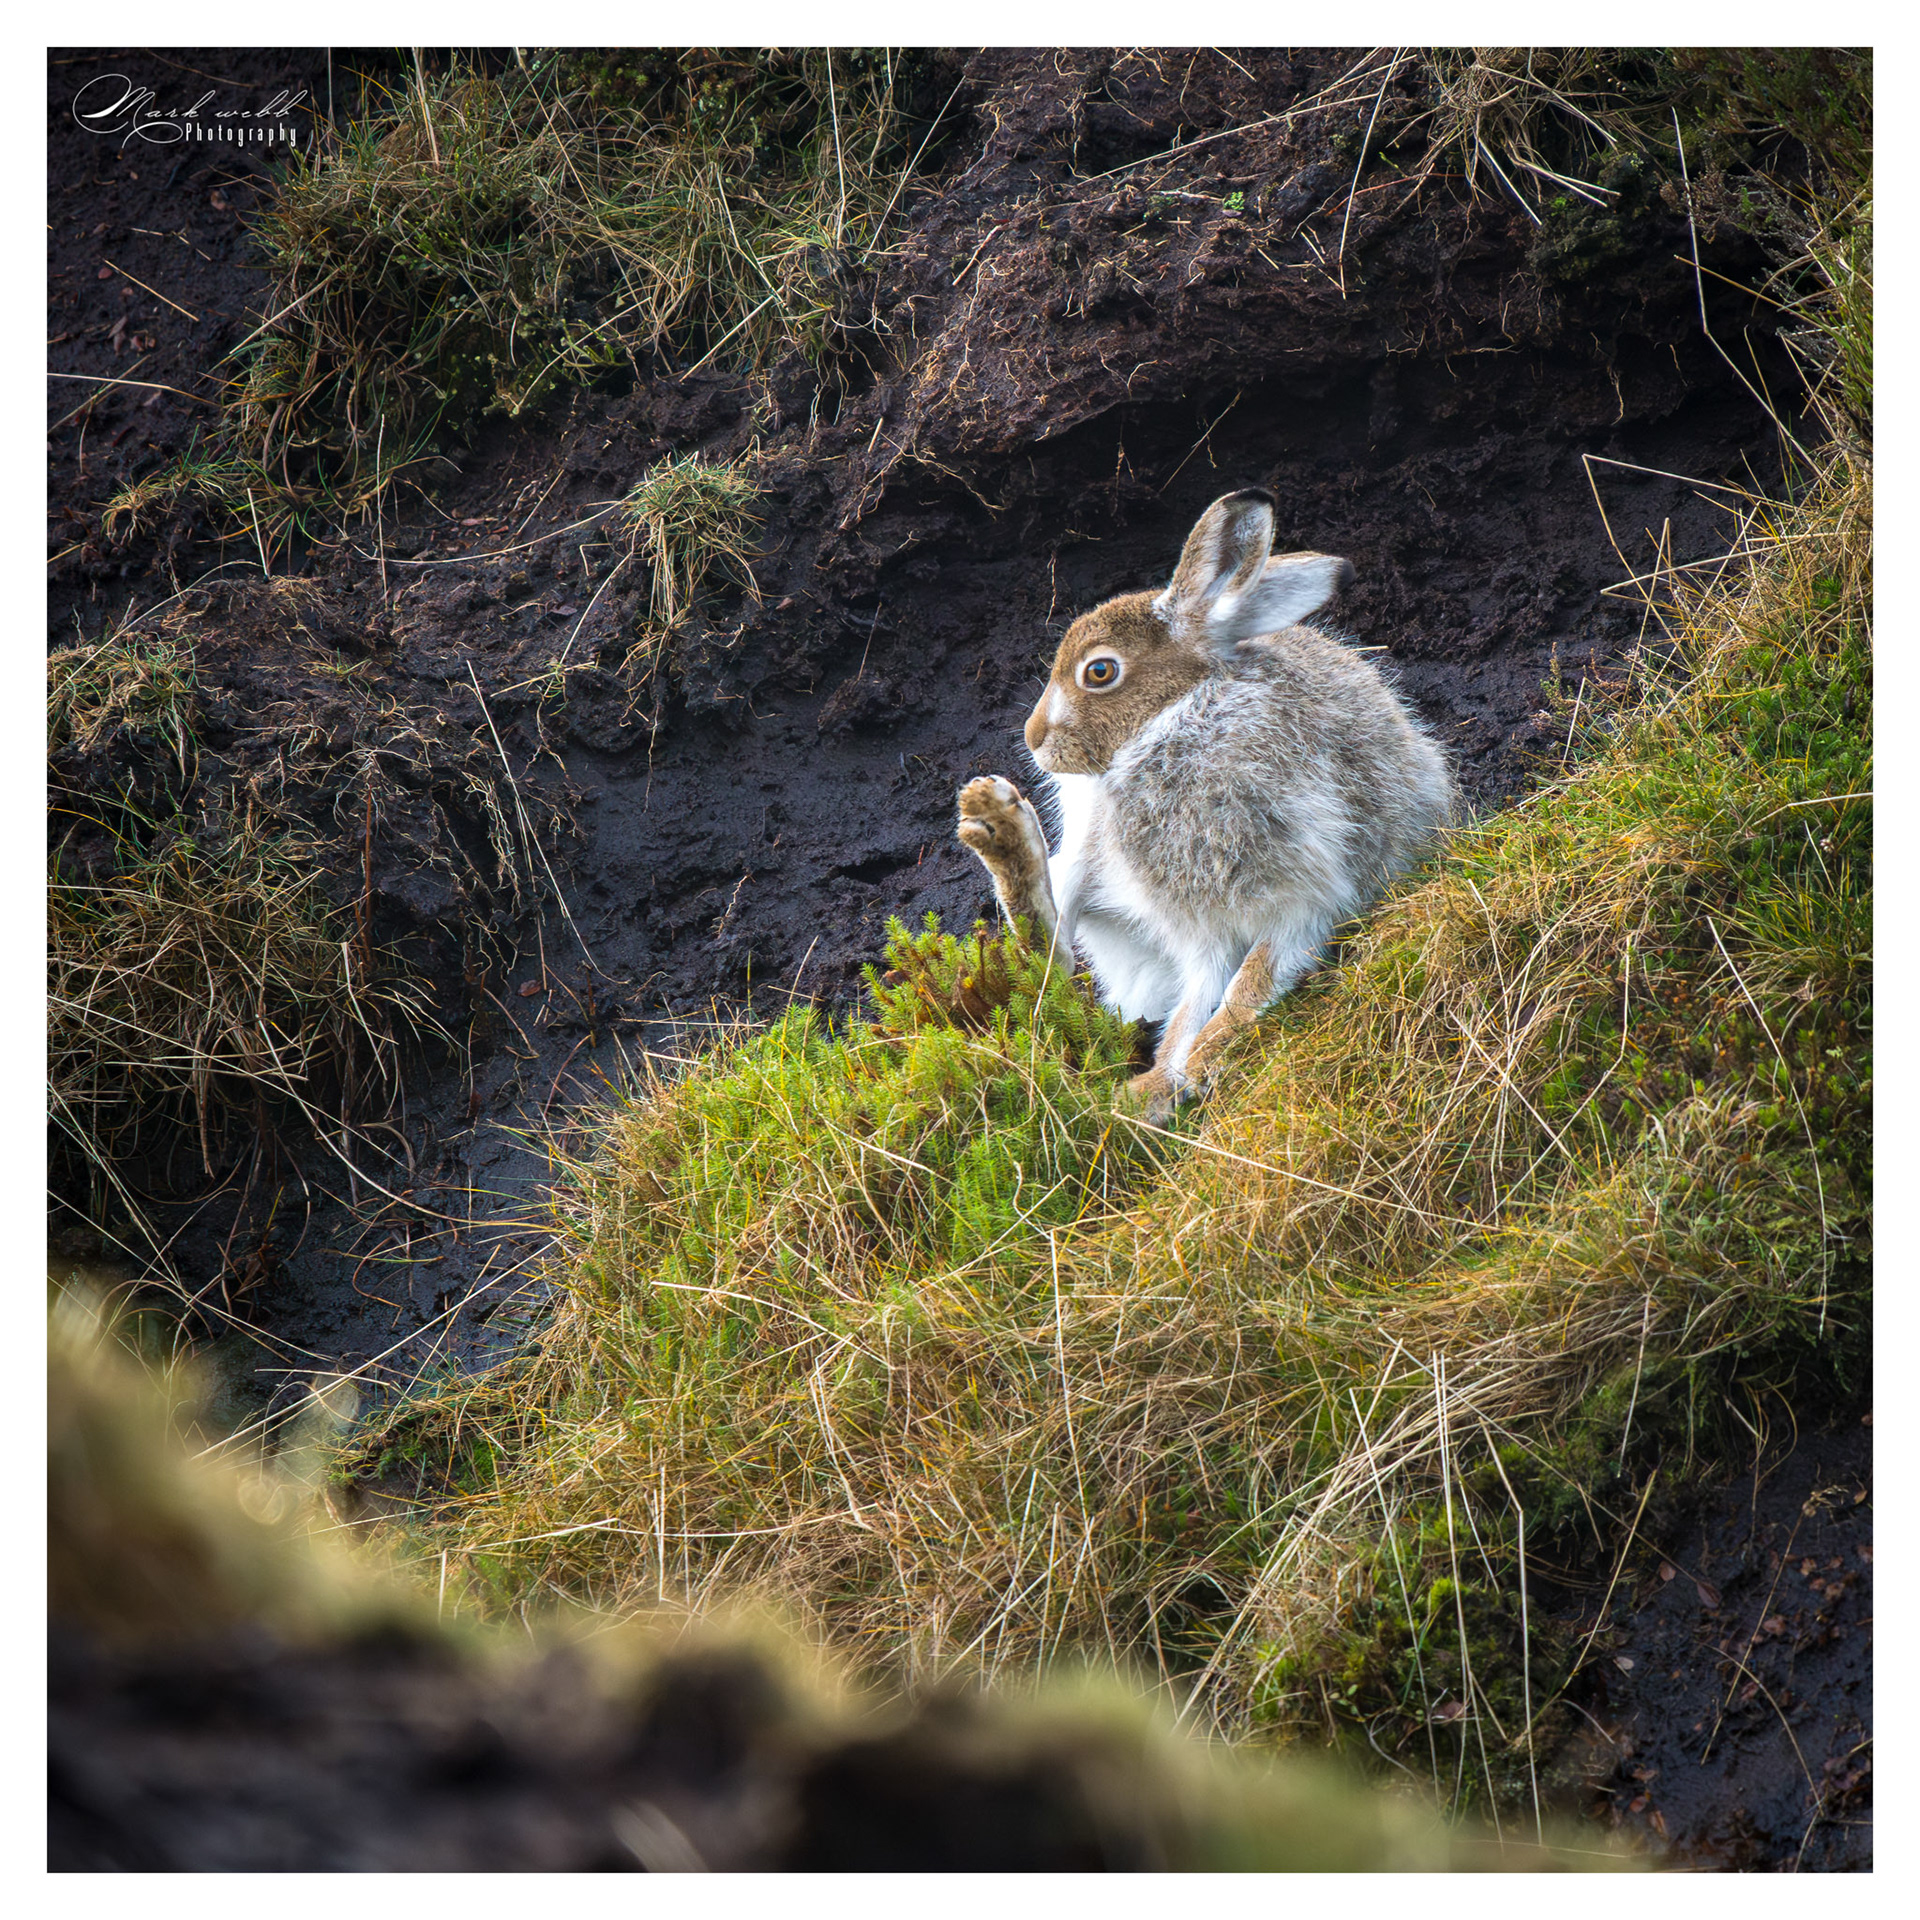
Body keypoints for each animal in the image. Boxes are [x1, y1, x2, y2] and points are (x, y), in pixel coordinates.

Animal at [956, 486, 1457, 1121]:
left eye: (1099, 671)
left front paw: (1199, 1063)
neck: (1173, 717)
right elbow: (1200, 994)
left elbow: (1252, 979)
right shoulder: (1199, 922)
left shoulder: (1305, 893)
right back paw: (999, 829)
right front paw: (1160, 1084)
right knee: (1050, 947)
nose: (1033, 738)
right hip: (1088, 852)